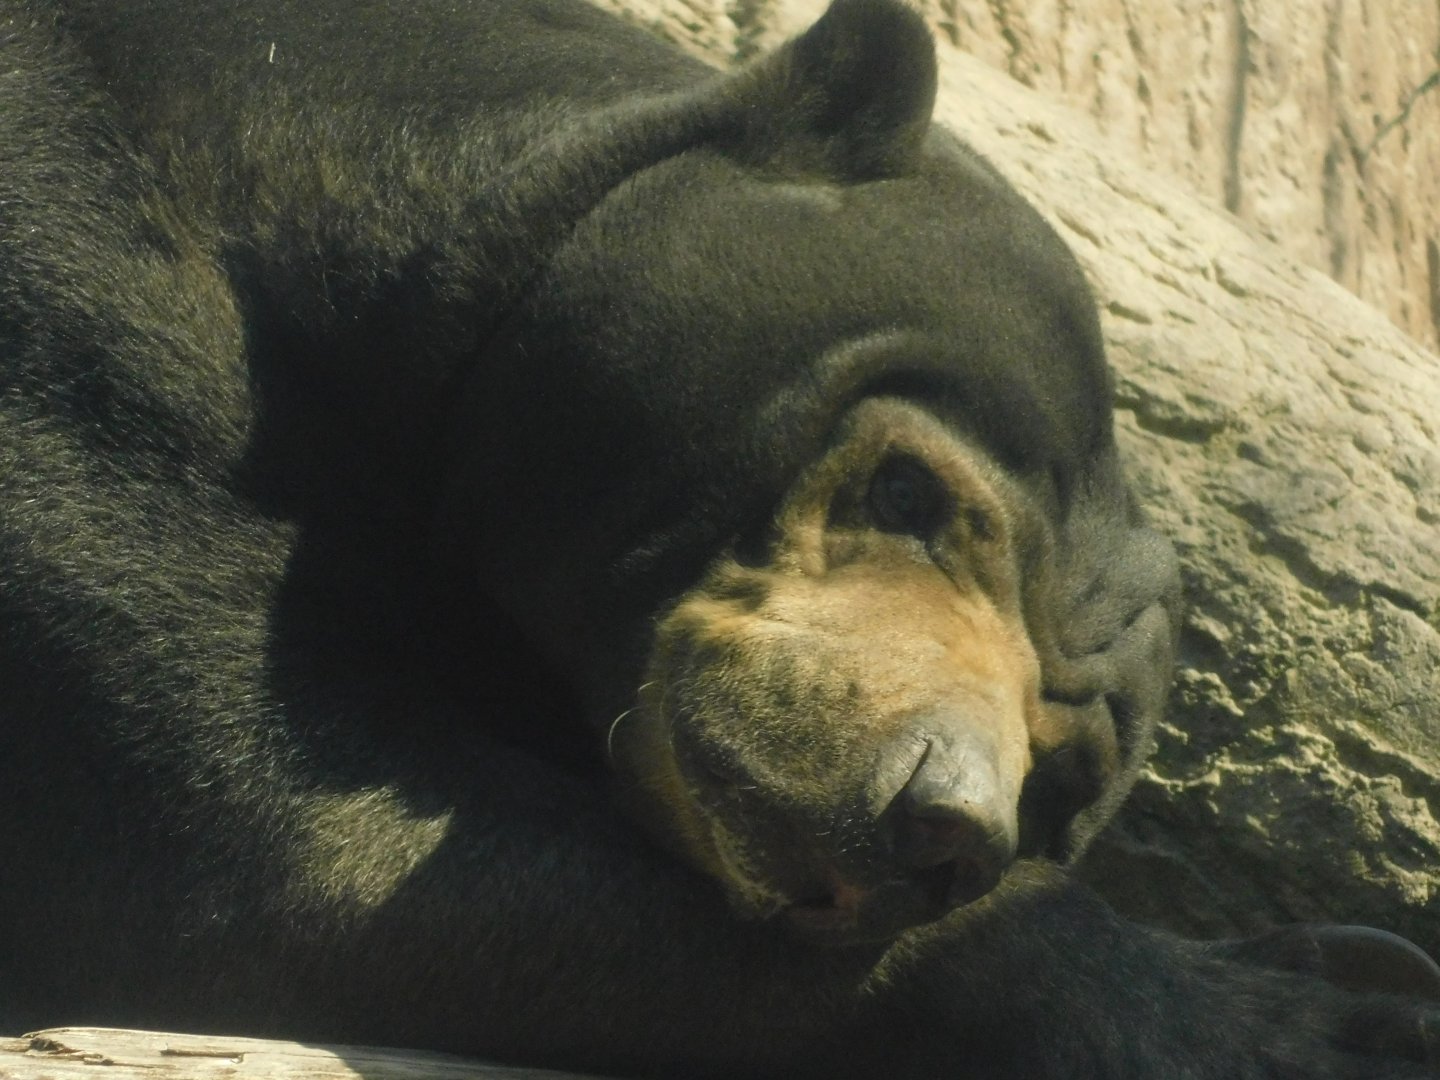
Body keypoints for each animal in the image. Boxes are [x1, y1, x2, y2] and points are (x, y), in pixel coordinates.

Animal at [0, 0, 1436, 1076]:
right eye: (907, 493)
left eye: (1058, 782)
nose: (938, 822)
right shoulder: (72, 324)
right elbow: (259, 827)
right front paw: (1323, 1018)